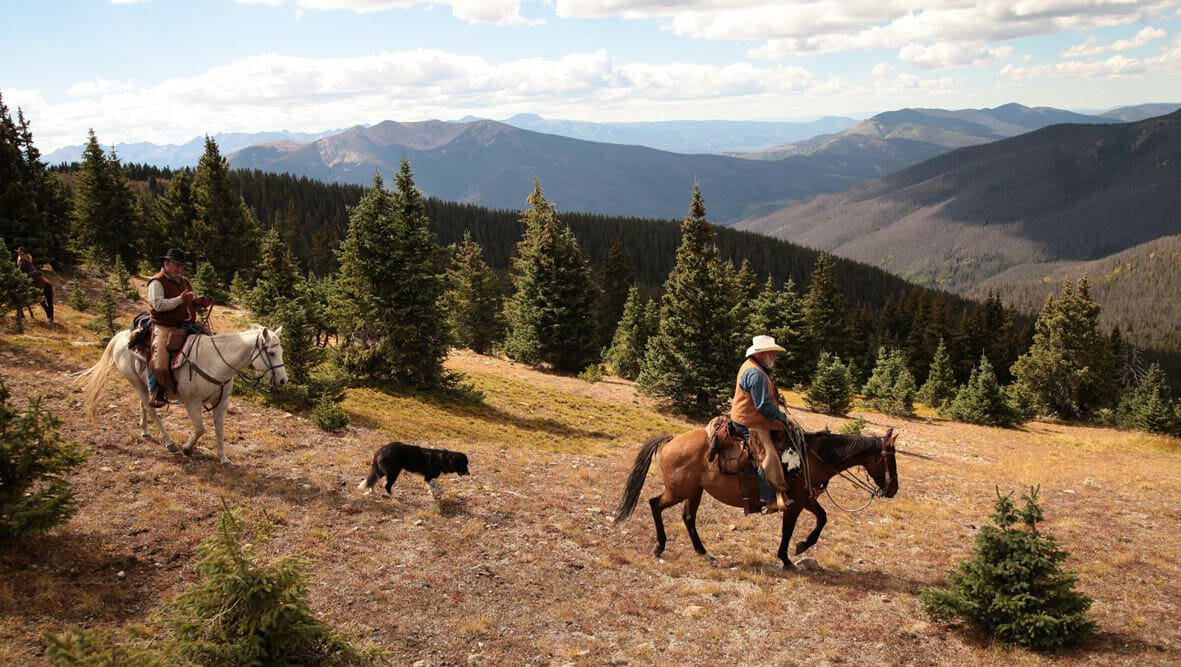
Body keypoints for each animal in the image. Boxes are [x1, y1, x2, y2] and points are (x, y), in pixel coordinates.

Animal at [73, 323, 288, 462]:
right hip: (135, 381)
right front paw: (187, 448)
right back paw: (170, 443)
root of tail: (122, 336)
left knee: (144, 404)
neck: (214, 361)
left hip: (142, 383)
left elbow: (219, 430)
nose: (283, 380)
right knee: (151, 408)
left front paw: (223, 458)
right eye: (271, 353)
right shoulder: (191, 402)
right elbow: (200, 429)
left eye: (281, 352)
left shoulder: (221, 403)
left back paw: (145, 430)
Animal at [614, 427, 897, 566]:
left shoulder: (807, 499)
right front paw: (786, 558)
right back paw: (660, 546)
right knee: (655, 504)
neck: (811, 458)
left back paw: (704, 553)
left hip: (694, 492)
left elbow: (823, 518)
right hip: (678, 491)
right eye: (889, 458)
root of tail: (672, 440)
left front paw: (802, 545)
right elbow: (787, 531)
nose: (893, 489)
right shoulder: (794, 504)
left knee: (688, 519)